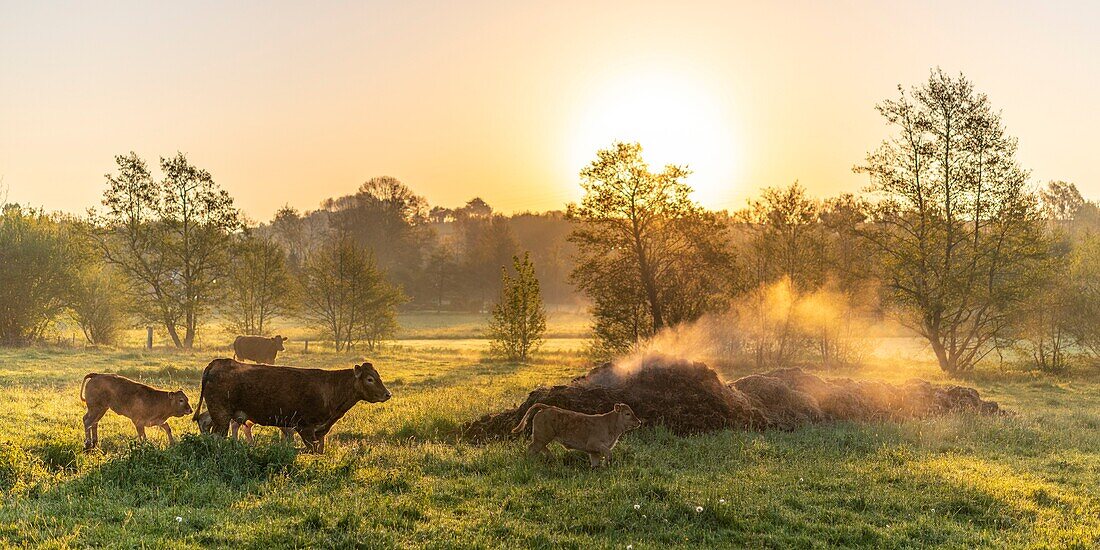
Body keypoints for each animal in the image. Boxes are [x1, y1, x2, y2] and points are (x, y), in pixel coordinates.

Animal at [193, 356, 391, 451]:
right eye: (370, 379)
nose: (387, 394)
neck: (330, 388)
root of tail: (217, 363)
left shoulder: (321, 431)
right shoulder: (305, 428)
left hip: (221, 414)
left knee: (205, 423)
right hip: (221, 414)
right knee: (216, 436)